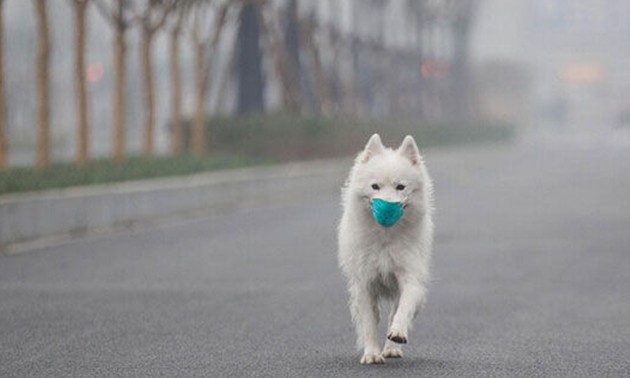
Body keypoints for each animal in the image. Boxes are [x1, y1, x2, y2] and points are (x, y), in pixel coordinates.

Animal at [338, 134, 436, 364]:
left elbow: (403, 309)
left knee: (394, 312)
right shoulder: (365, 284)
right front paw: (372, 354)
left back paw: (392, 348)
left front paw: (397, 334)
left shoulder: (410, 276)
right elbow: (369, 323)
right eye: (375, 186)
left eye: (401, 187)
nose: (387, 208)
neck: (385, 238)